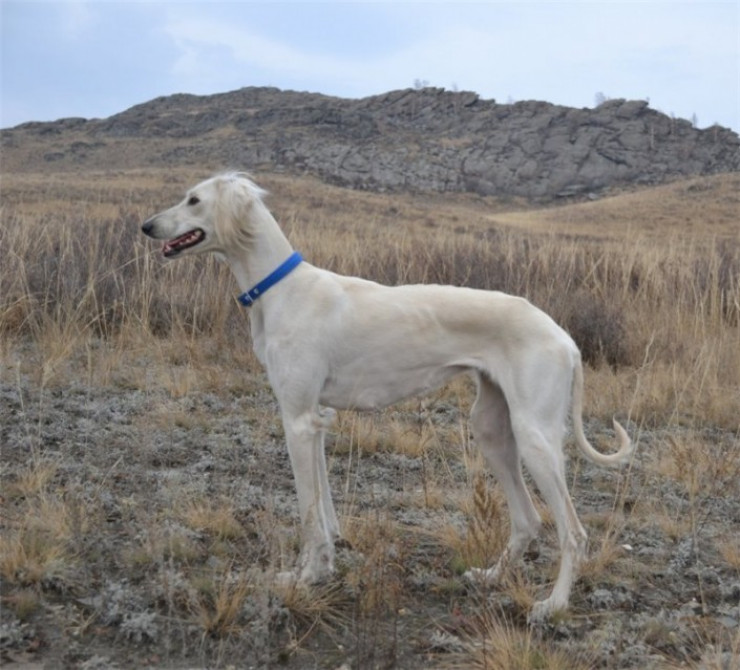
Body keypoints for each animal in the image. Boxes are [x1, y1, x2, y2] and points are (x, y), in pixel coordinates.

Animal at [141, 172, 633, 621]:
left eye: (193, 199)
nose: (146, 226)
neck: (281, 288)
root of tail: (565, 338)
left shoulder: (297, 420)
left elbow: (307, 512)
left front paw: (303, 578)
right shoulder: (316, 420)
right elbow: (323, 509)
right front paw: (323, 566)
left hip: (535, 438)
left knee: (574, 533)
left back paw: (554, 605)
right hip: (492, 430)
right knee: (528, 520)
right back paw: (491, 576)